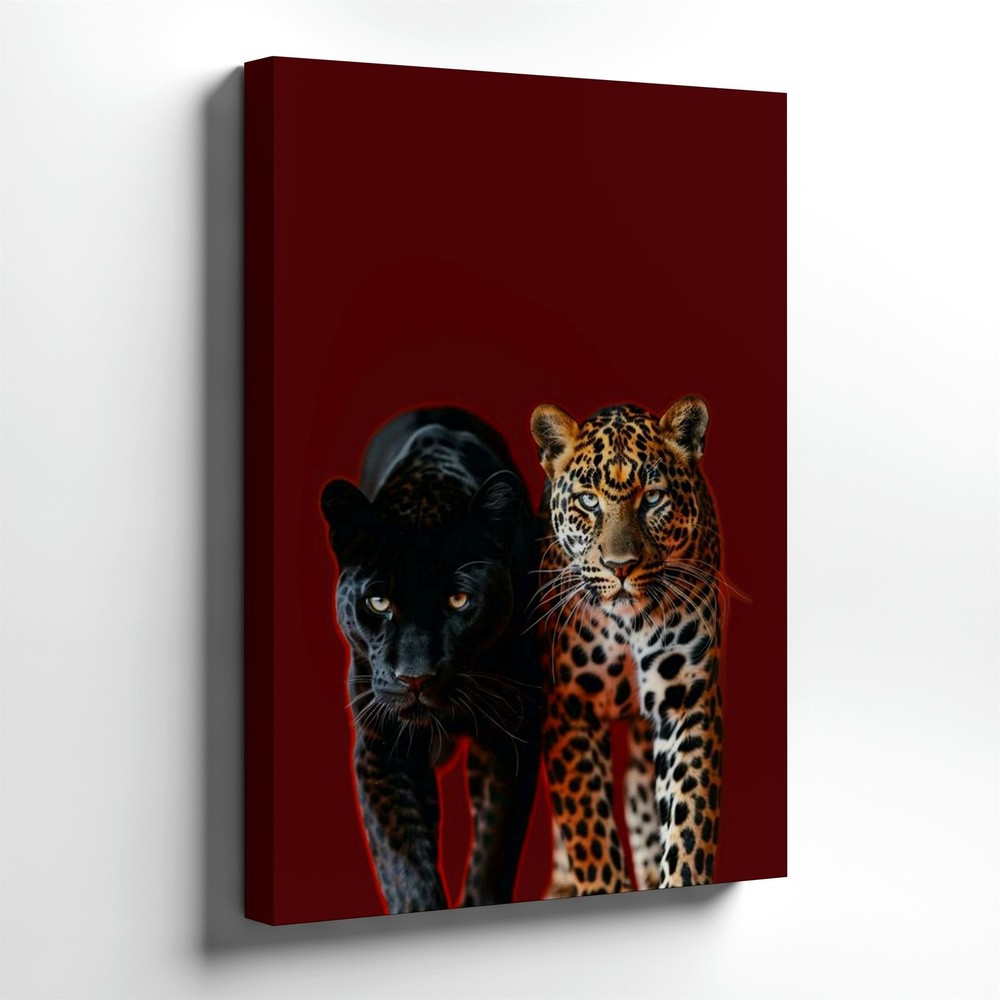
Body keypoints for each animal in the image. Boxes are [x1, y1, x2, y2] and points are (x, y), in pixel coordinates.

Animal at [321, 407, 542, 914]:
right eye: (379, 602)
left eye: (459, 600)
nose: (415, 678)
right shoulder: (382, 742)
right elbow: (403, 859)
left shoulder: (511, 734)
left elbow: (494, 847)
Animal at [530, 397, 725, 894]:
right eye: (588, 501)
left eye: (652, 498)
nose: (621, 567)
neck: (628, 625)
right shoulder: (570, 709)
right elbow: (591, 835)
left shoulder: (686, 701)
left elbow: (688, 822)